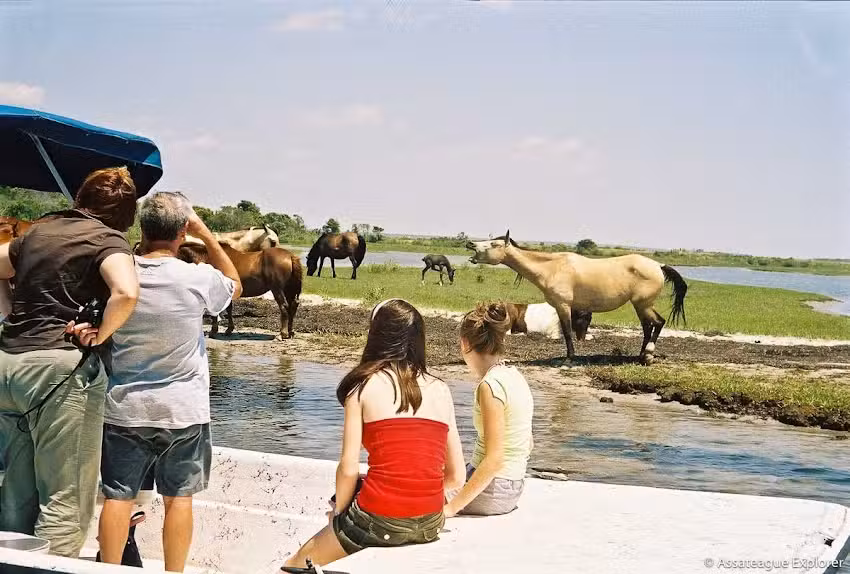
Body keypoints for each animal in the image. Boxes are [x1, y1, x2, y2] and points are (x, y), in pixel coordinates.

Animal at [467, 230, 687, 364]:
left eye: (493, 243)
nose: (470, 244)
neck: (552, 268)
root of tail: (658, 265)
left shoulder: (563, 305)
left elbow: (567, 331)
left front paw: (569, 359)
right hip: (640, 306)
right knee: (648, 327)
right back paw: (640, 356)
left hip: (643, 304)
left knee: (658, 323)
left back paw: (648, 356)